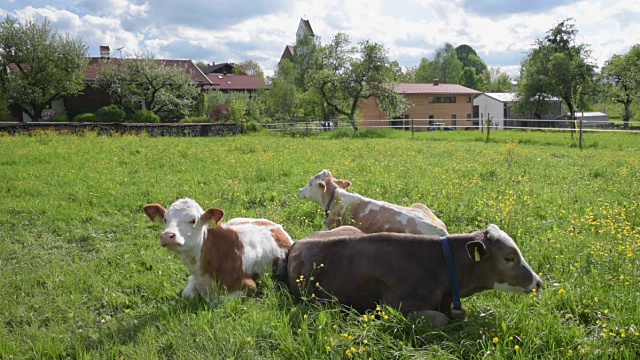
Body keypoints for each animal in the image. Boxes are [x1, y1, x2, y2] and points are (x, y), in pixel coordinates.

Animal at [144, 198, 292, 302]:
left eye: (193, 220)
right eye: (165, 219)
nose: (167, 235)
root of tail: (275, 225)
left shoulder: (249, 286)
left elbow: (214, 302)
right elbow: (186, 294)